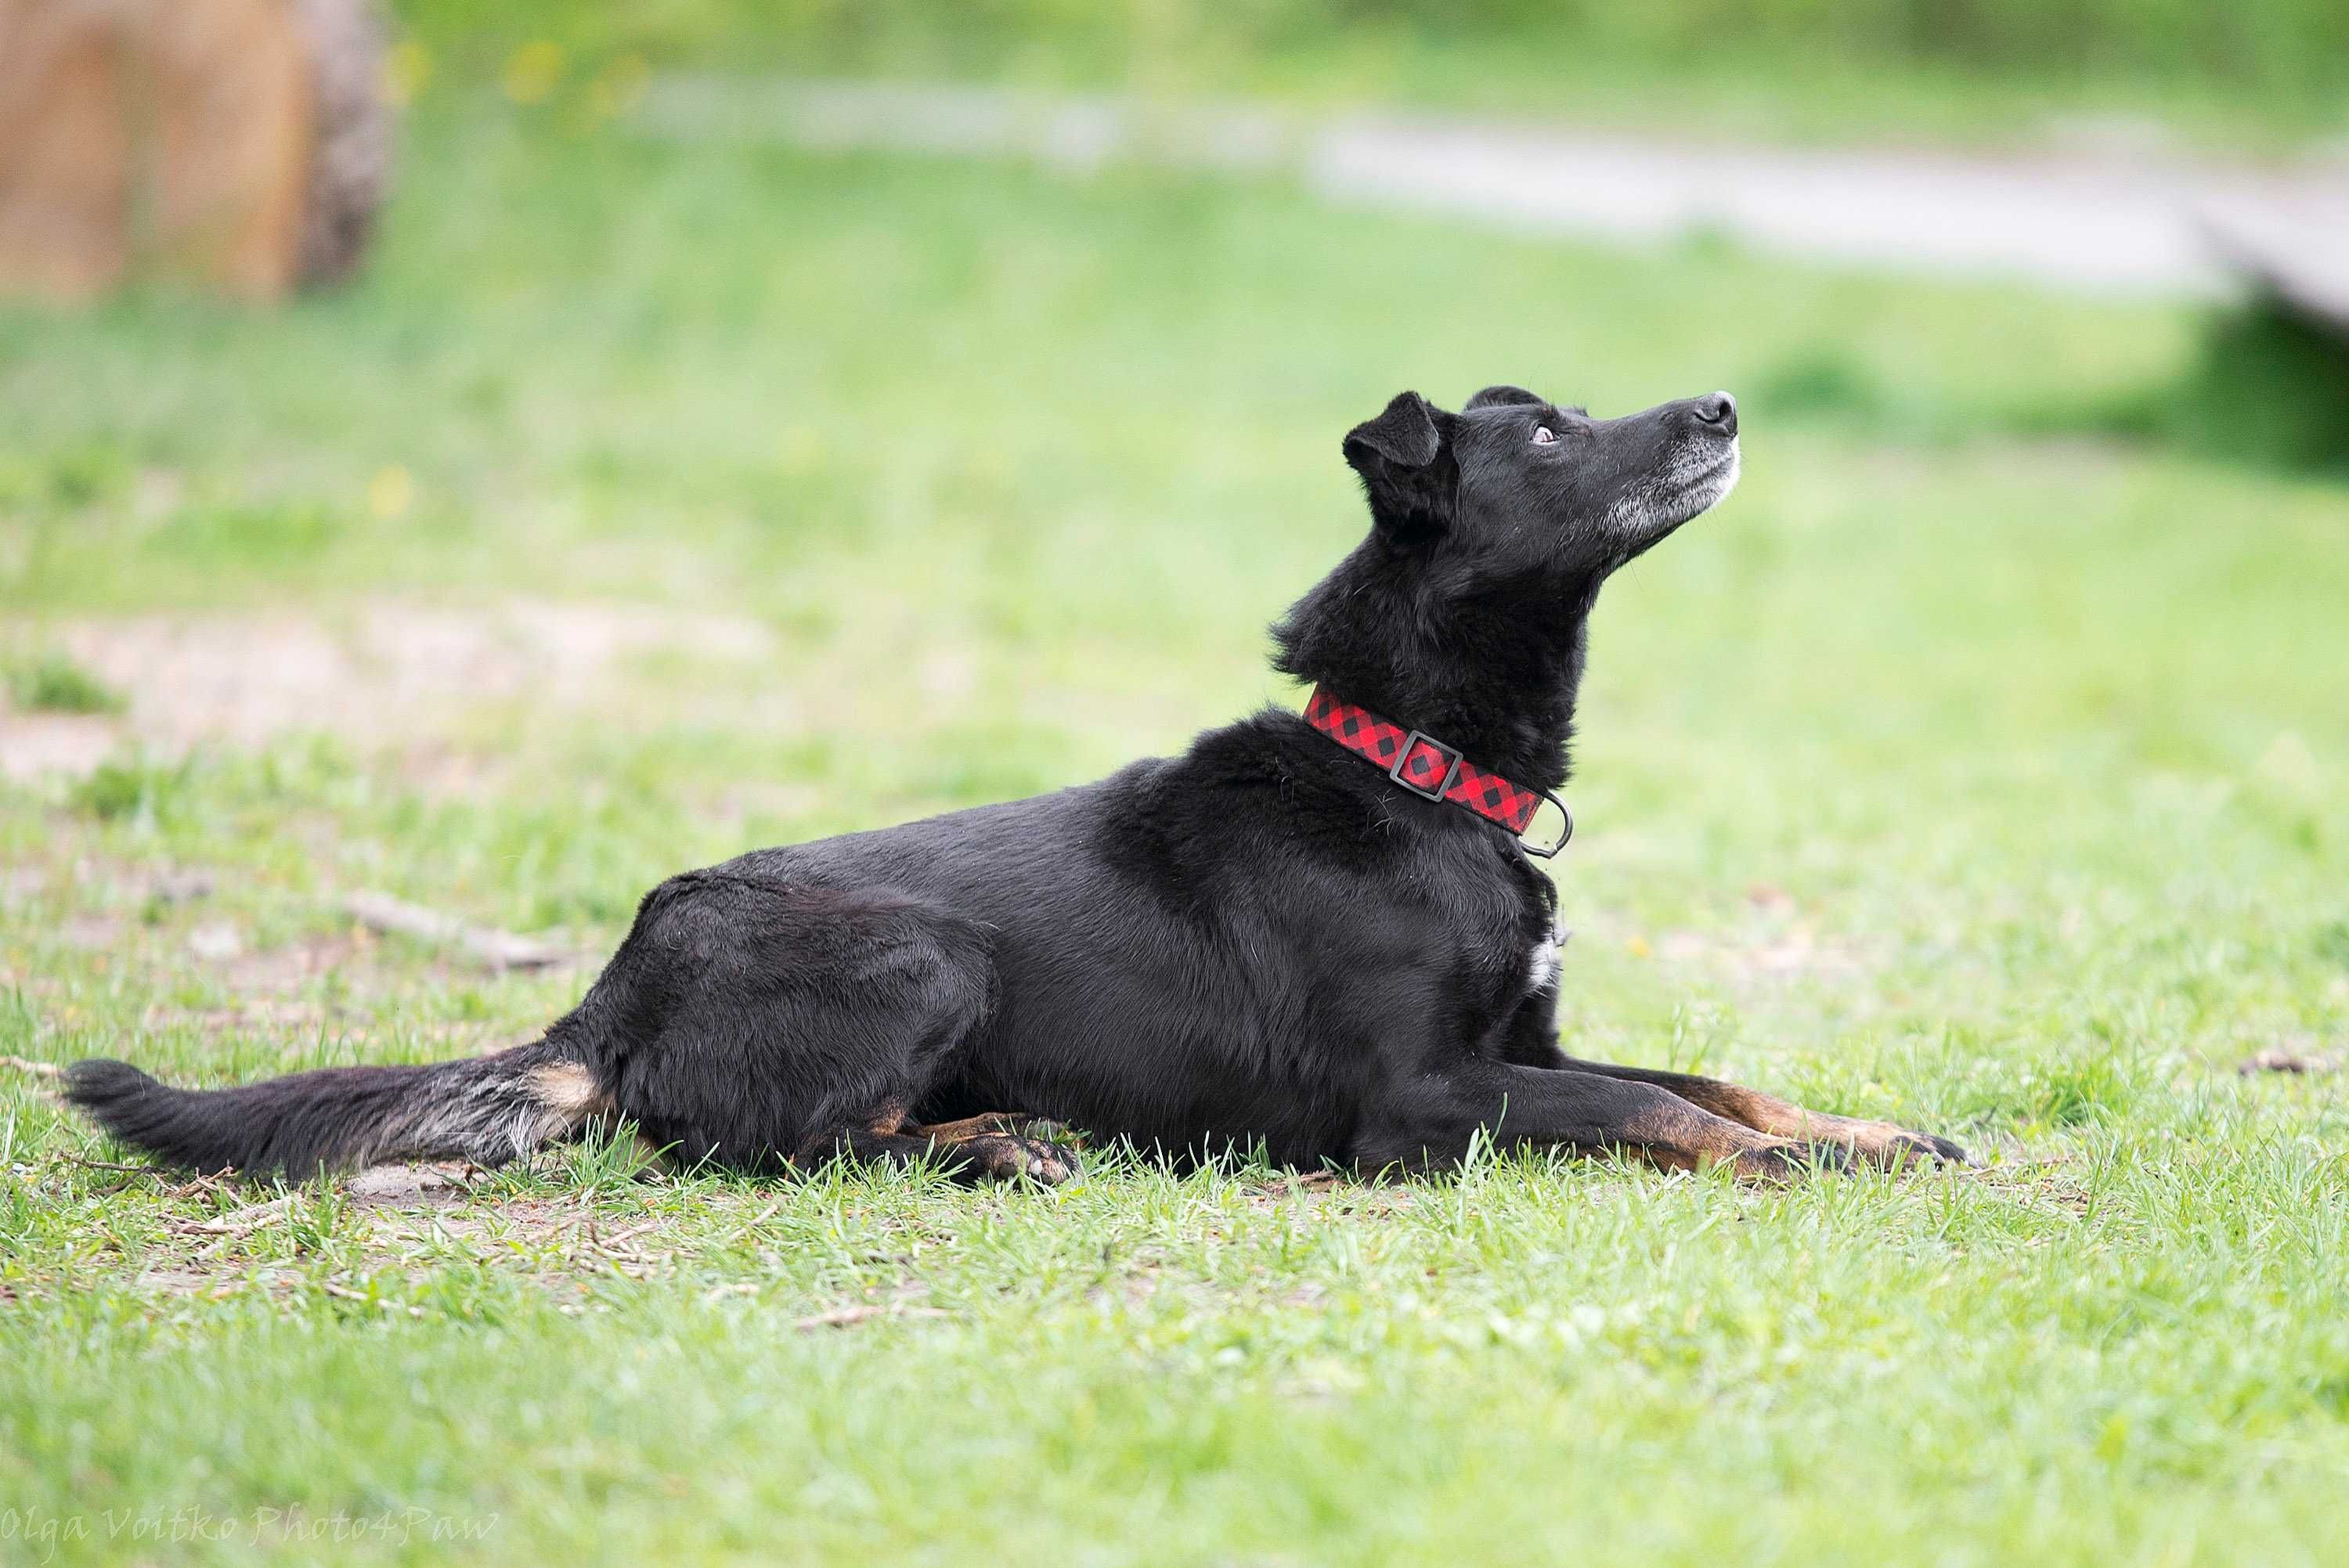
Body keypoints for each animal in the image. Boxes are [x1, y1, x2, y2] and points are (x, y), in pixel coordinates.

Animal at [68, 384, 1964, 1183]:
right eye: (1554, 433)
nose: (1722, 403)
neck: (1415, 772)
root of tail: (605, 995)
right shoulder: (1420, 1101)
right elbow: (1662, 1109)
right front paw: (1812, 1164)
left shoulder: (1531, 1048)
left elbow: (1716, 1078)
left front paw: (1871, 1131)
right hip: (924, 951)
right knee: (760, 1144)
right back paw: (998, 1144)